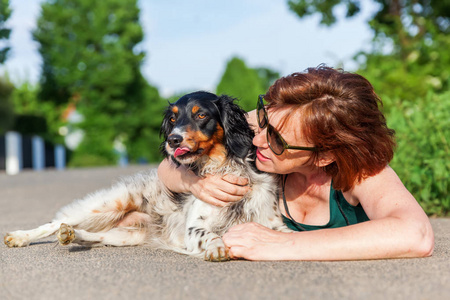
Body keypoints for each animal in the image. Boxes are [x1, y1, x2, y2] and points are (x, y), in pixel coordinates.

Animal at [3, 91, 288, 260]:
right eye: (172, 120)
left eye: (201, 114)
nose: (173, 140)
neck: (224, 167)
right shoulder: (194, 227)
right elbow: (209, 235)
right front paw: (217, 247)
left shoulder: (273, 224)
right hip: (109, 205)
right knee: (54, 222)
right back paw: (20, 237)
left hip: (125, 236)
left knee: (91, 234)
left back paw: (71, 235)